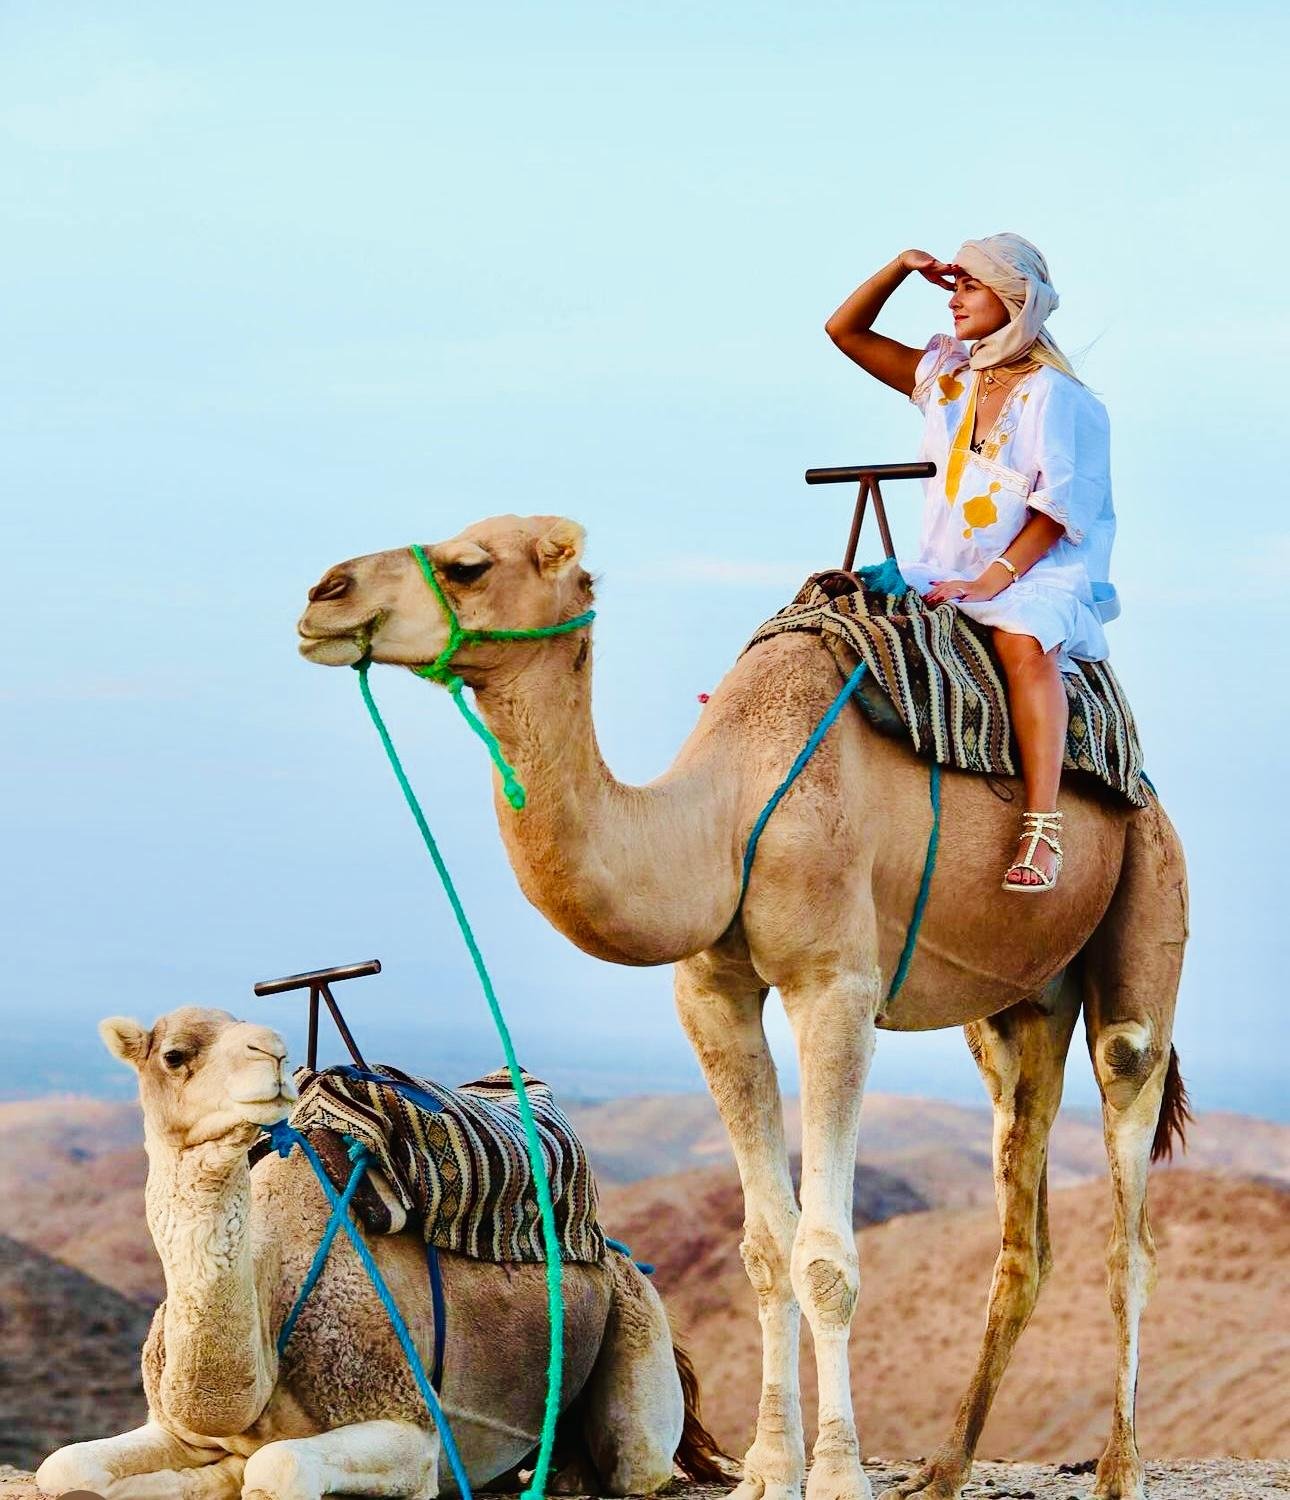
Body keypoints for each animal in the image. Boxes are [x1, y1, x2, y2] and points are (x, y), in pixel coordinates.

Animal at [36, 1006, 727, 1500]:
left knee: (637, 1459)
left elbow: (278, 1467)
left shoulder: (412, 1430)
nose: (274, 1051)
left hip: (636, 1318)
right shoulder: (179, 1427)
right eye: (175, 1054)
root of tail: (619, 1256)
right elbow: (64, 1467)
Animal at [295, 515, 1190, 1500]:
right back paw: (945, 1468)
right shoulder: (711, 994)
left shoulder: (835, 986)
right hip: (1017, 1011)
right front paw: (768, 1465)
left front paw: (835, 1474)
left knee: (1130, 1210)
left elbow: (826, 1255)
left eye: (467, 565)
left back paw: (1120, 1469)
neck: (723, 816)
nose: (324, 595)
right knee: (1021, 1228)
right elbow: (766, 1248)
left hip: (1147, 897)